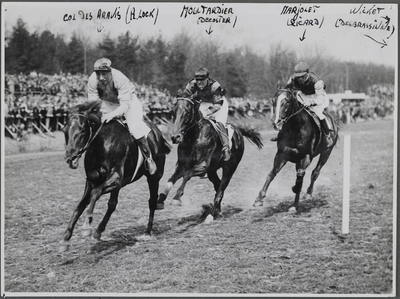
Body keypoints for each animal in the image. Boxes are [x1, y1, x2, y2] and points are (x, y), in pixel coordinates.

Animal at [58, 101, 171, 253]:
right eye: (64, 130)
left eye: (81, 130)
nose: (70, 158)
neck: (102, 145)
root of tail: (157, 132)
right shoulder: (92, 181)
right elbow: (80, 205)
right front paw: (65, 239)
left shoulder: (116, 179)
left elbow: (95, 193)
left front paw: (87, 225)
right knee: (112, 204)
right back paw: (99, 231)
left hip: (154, 177)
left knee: (152, 201)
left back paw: (148, 232)